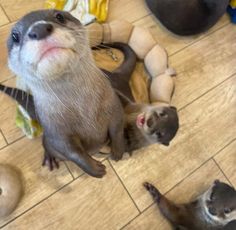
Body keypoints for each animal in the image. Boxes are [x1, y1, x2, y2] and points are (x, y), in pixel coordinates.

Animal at [5, 9, 128, 178]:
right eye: (15, 36)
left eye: (59, 16)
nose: (39, 29)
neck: (84, 112)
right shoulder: (56, 132)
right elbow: (72, 152)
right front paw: (94, 169)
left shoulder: (113, 104)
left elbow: (117, 127)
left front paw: (117, 150)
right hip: (48, 138)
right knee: (46, 144)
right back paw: (50, 158)